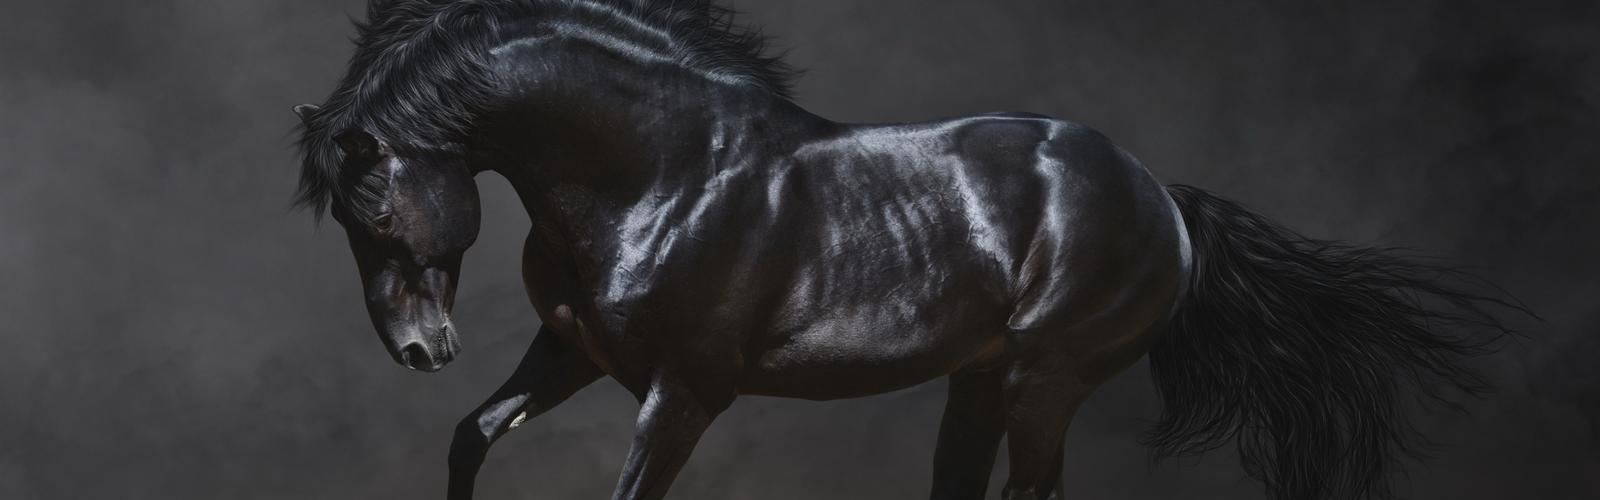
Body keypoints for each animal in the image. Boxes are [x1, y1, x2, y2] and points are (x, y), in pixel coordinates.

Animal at [291, 2, 1518, 499]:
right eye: (347, 223)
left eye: (379, 211)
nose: (420, 349)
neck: (661, 173)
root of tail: (1161, 196)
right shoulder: (574, 354)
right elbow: (471, 435)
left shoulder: (682, 393)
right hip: (978, 384)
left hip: (1043, 382)